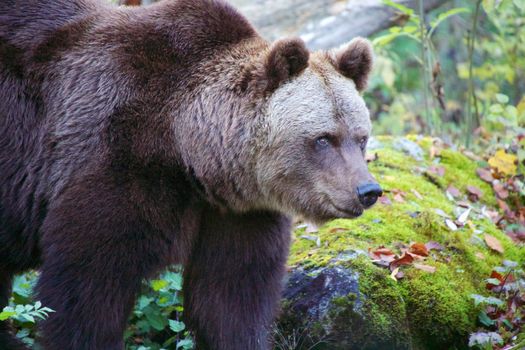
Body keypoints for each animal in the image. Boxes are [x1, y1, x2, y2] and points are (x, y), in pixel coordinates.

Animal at [0, 0, 380, 350]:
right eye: (323, 138)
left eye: (361, 137)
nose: (367, 190)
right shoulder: (114, 166)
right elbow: (87, 289)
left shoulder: (238, 212)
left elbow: (232, 296)